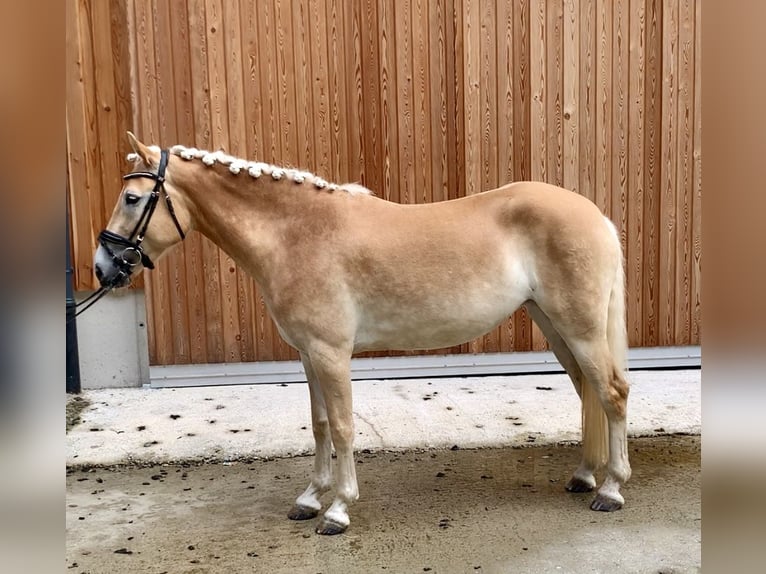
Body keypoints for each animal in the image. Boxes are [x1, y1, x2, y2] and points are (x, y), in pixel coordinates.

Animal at [94, 133, 632, 536]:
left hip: (579, 327)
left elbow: (344, 427)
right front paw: (310, 498)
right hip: (555, 326)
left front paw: (337, 509)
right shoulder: (308, 355)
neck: (297, 233)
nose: (103, 267)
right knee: (587, 392)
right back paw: (585, 475)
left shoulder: (331, 353)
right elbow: (320, 425)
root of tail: (597, 216)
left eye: (133, 198)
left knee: (611, 393)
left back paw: (611, 489)